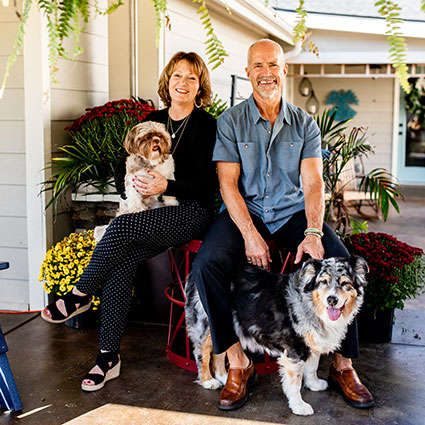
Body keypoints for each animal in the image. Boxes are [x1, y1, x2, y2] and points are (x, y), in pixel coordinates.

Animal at [186, 255, 368, 414]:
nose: (332, 299)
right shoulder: (295, 351)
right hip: (206, 323)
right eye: (323, 281)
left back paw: (225, 379)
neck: (311, 303)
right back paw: (208, 381)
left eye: (345, 283)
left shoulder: (311, 342)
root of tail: (192, 272)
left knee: (219, 351)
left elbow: (312, 366)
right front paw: (299, 406)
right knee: (202, 353)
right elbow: (295, 383)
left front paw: (314, 384)